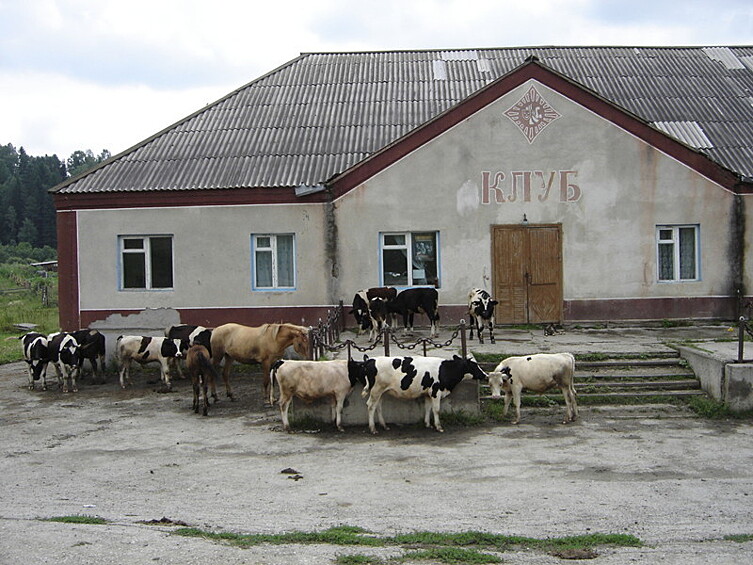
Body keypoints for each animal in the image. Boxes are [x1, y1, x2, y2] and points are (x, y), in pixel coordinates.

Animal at [352, 354, 488, 434]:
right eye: (474, 366)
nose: (485, 375)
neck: (445, 370)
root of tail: (370, 360)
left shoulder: (428, 393)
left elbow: (428, 408)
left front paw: (427, 424)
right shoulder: (436, 391)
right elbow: (436, 410)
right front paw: (438, 427)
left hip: (381, 391)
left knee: (378, 406)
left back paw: (384, 425)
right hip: (376, 390)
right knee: (371, 406)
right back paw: (373, 428)